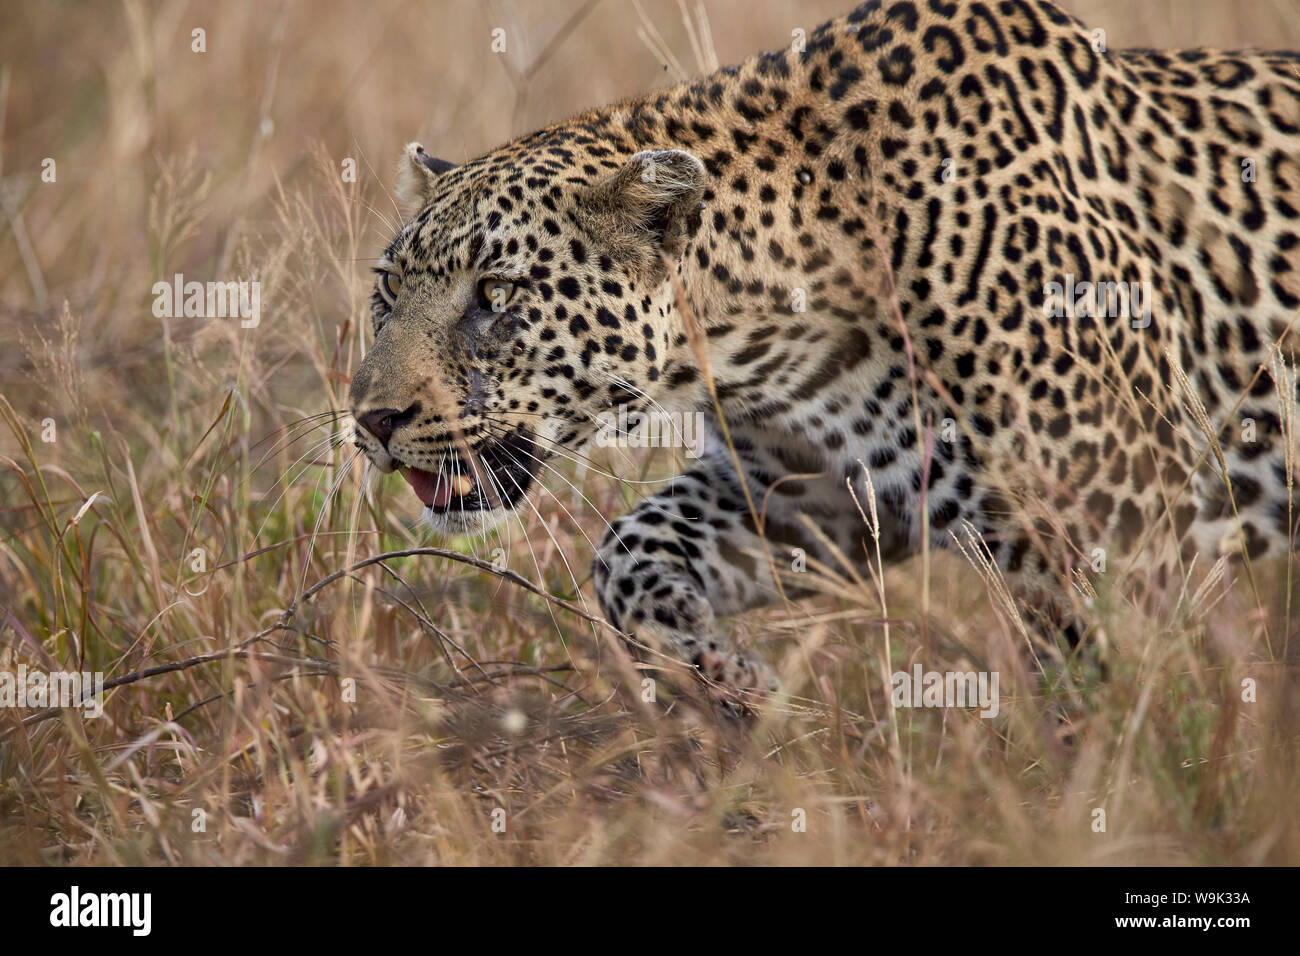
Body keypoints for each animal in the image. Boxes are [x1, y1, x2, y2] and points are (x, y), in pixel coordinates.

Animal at [351, 0, 1300, 702]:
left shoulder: (1119, 520)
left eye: (496, 296)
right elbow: (625, 552)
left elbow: (1111, 689)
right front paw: (729, 684)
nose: (371, 421)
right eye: (388, 290)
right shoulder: (811, 492)